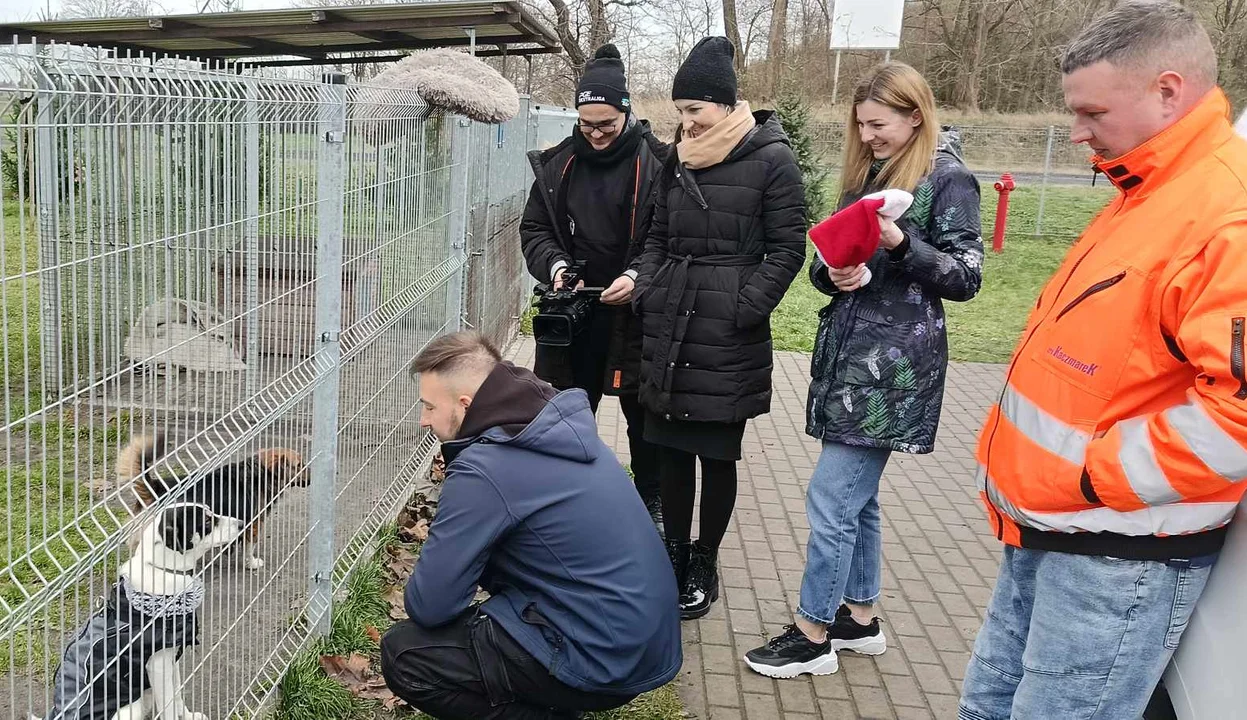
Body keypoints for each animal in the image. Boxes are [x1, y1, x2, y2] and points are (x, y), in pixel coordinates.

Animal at [40, 501, 243, 718]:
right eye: (206, 521)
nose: (241, 523)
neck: (162, 570)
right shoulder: (158, 665)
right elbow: (169, 707)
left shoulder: (172, 658)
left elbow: (178, 694)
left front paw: (188, 716)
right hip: (132, 706)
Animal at [119, 431, 306, 574]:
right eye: (299, 464)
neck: (259, 472)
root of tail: (155, 487)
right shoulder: (253, 525)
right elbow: (249, 549)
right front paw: (252, 564)